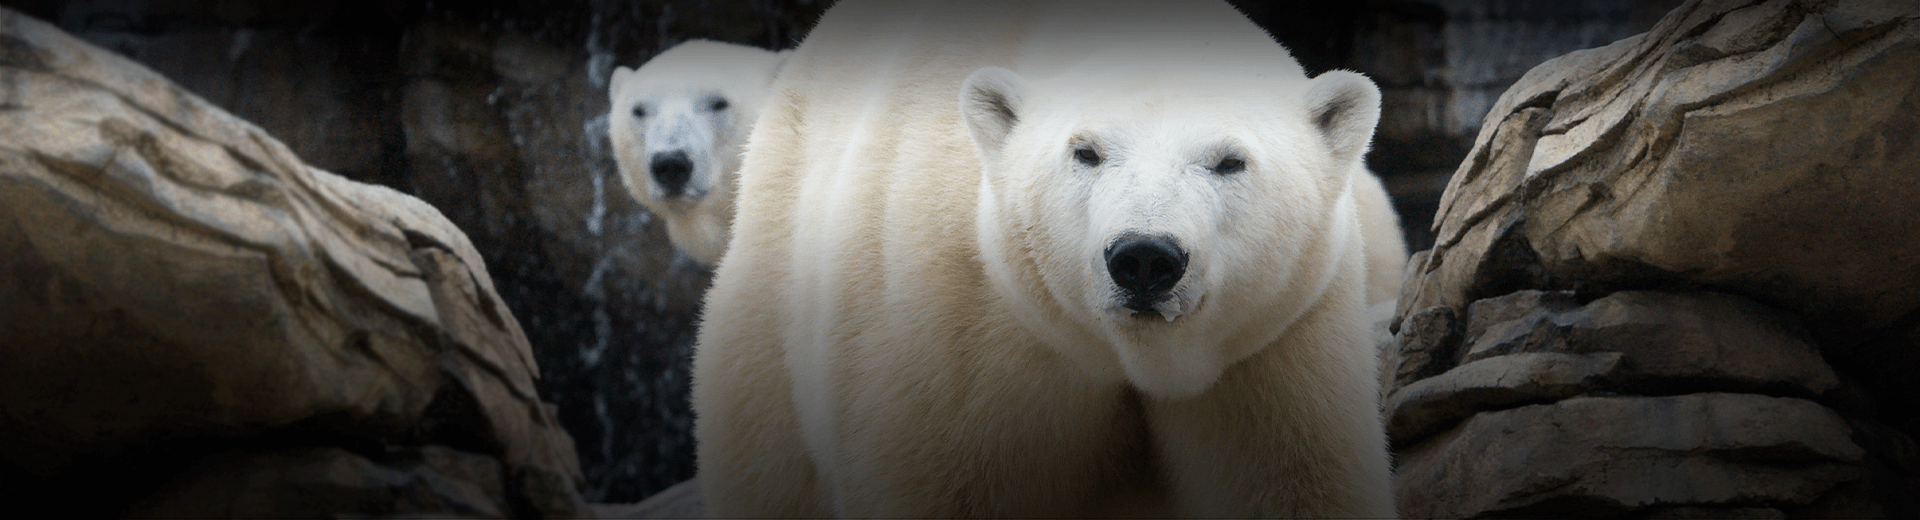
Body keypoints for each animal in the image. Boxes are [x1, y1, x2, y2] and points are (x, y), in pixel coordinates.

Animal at [691, 0, 1402, 517]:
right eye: (1085, 152)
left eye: (1230, 161)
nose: (1145, 259)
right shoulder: (961, 328)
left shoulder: (1276, 342)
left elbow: (1296, 483)